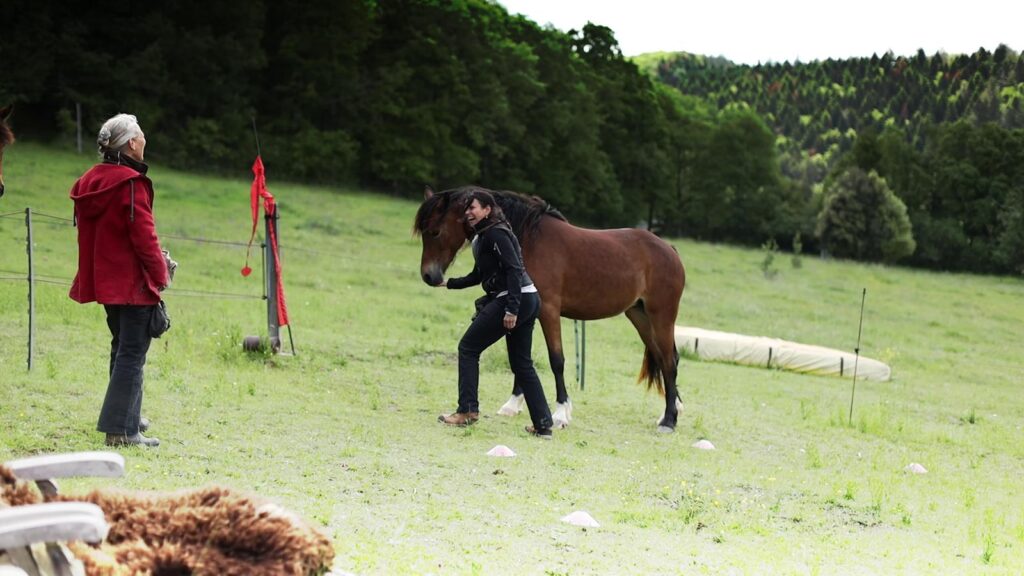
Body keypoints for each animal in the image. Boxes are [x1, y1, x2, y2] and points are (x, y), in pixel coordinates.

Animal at [415, 186, 687, 432]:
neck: (528, 238)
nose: (429, 276)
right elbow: (521, 360)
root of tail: (670, 251)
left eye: (435, 232)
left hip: (661, 317)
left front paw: (560, 414)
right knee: (665, 358)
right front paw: (513, 405)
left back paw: (669, 421)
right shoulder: (526, 315)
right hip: (639, 316)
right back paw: (672, 411)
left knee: (669, 361)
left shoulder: (548, 312)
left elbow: (556, 361)